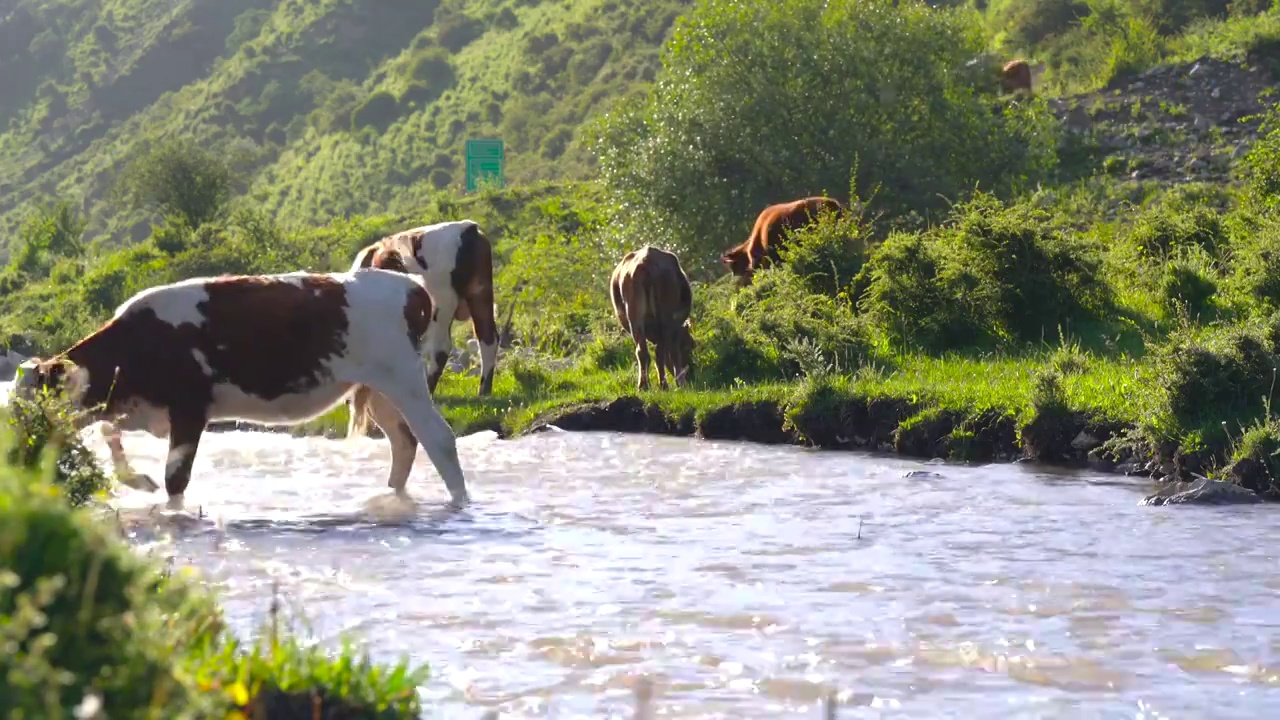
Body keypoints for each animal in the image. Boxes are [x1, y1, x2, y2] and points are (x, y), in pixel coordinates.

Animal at [606, 245, 691, 392]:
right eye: (689, 347)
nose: (691, 375)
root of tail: (646, 261)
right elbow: (673, 352)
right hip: (663, 318)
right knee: (658, 353)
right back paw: (662, 384)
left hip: (636, 319)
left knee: (643, 352)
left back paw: (644, 385)